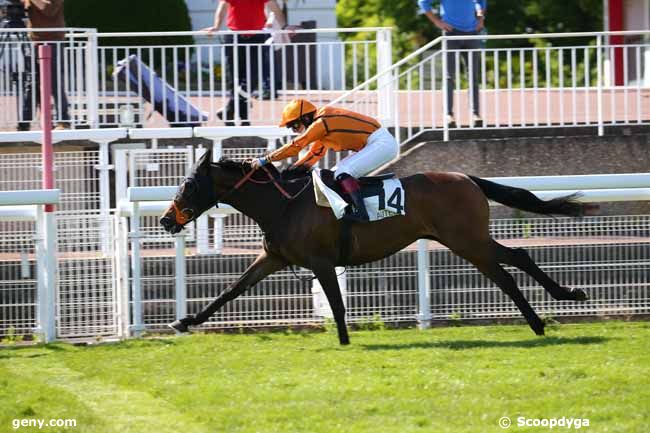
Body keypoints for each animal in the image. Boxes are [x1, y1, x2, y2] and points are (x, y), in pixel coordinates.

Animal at [161, 151, 592, 344]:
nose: (167, 220)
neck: (283, 205)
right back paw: (554, 307)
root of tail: (467, 178)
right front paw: (185, 321)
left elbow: (336, 303)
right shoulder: (274, 257)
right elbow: (230, 290)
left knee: (508, 269)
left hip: (466, 240)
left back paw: (549, 313)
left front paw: (344, 341)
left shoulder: (320, 261)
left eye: (189, 185)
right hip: (463, 239)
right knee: (514, 261)